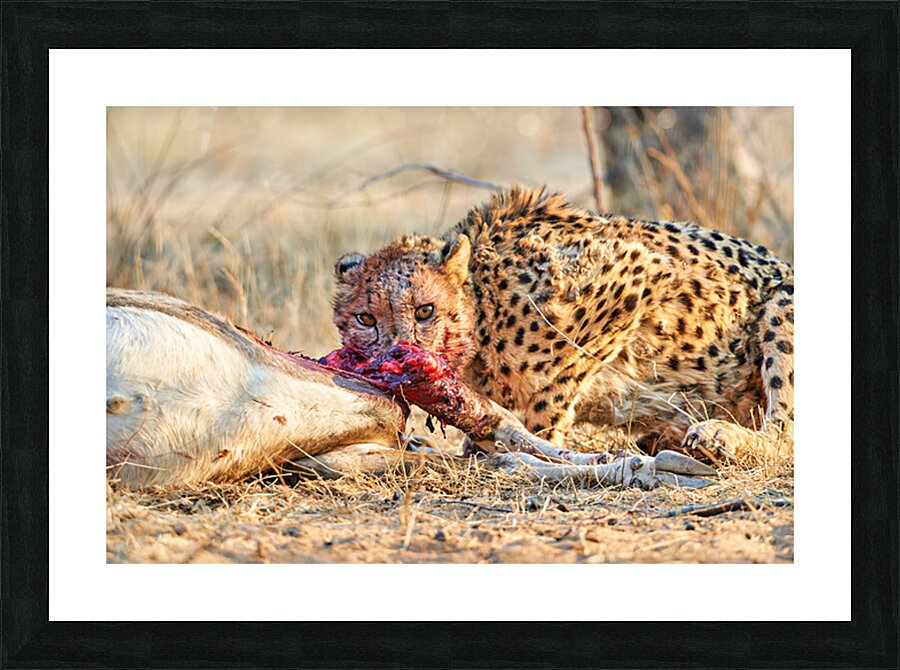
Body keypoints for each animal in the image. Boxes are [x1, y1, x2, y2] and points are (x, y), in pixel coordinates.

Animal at [332, 185, 794, 462]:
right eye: (366, 319)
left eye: (425, 311)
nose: (400, 354)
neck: (484, 304)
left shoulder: (637, 274)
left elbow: (557, 385)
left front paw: (537, 443)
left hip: (782, 299)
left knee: (785, 431)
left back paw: (720, 436)